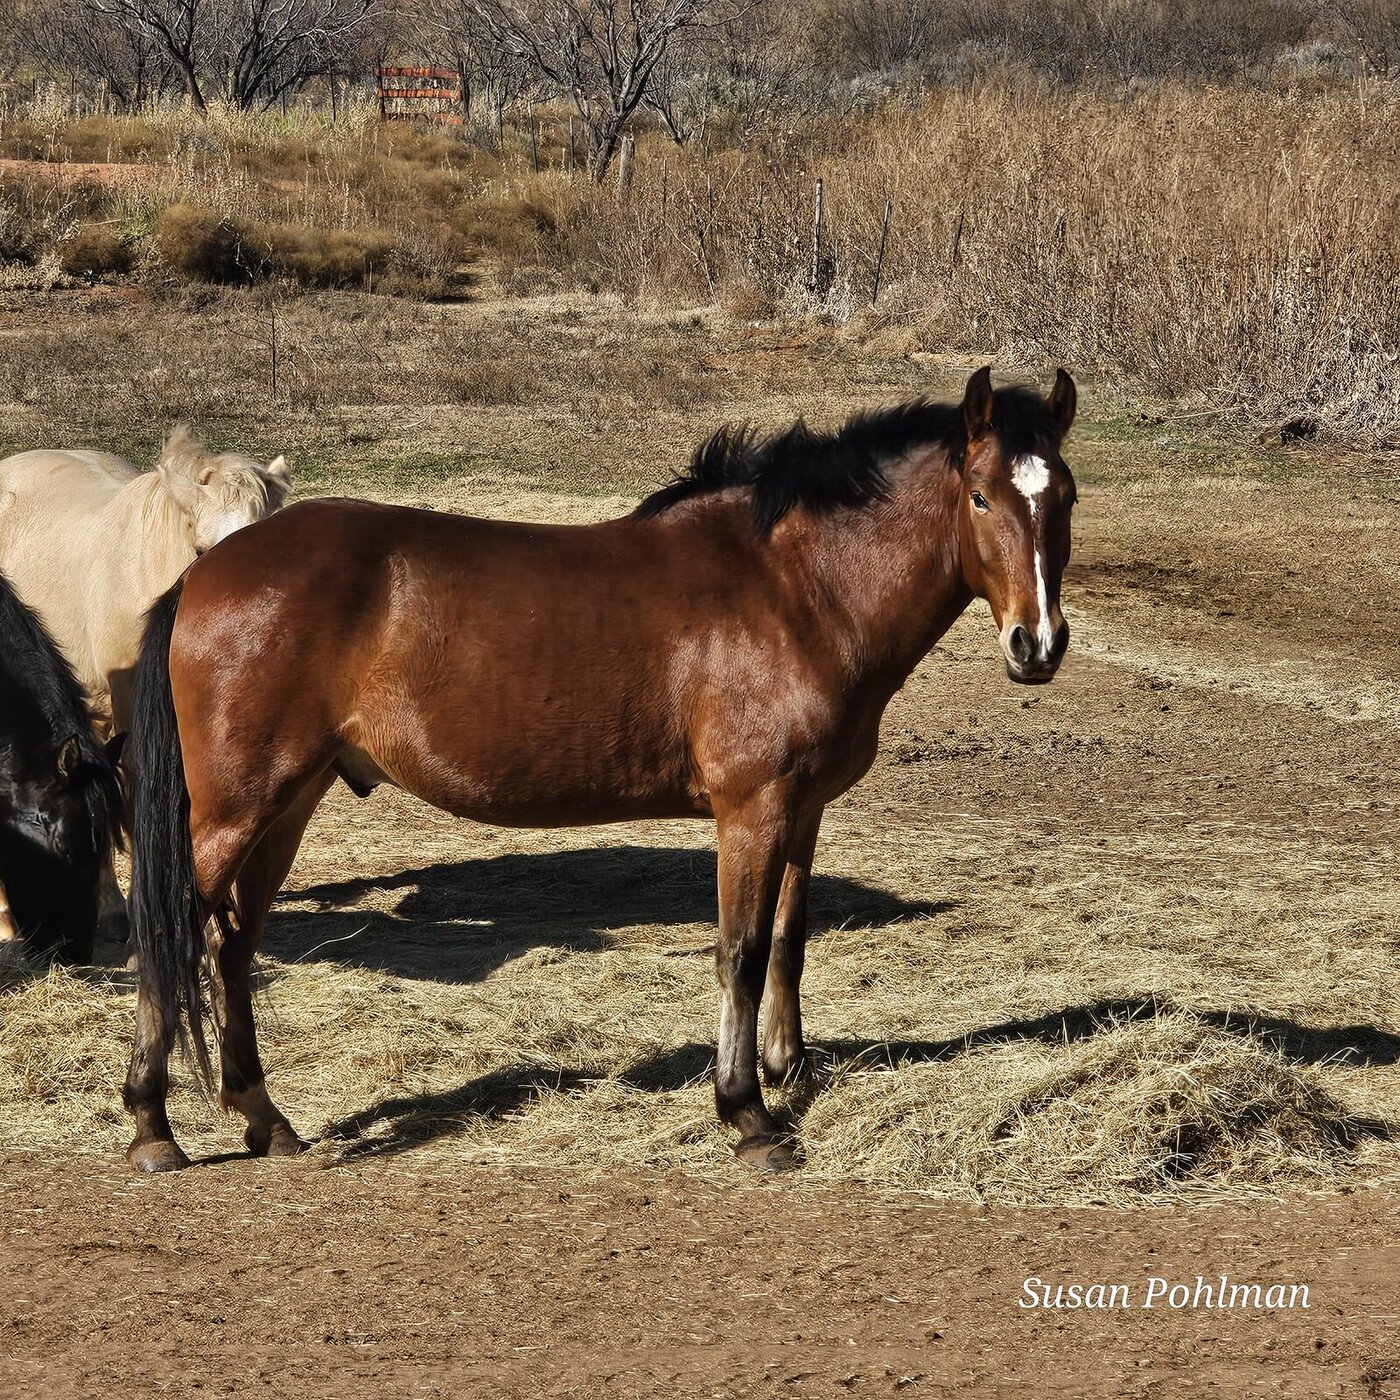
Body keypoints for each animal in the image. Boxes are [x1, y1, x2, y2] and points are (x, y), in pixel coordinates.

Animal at [122, 366, 1078, 1174]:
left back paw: (265, 1119)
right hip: (234, 810)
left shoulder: (803, 810)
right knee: (167, 934)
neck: (796, 586)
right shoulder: (752, 809)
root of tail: (205, 572)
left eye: (1064, 495)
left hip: (289, 802)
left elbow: (790, 942)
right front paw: (748, 1114)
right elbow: (740, 950)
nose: (1038, 646)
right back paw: (152, 1127)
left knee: (231, 943)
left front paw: (791, 1069)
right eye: (982, 494)